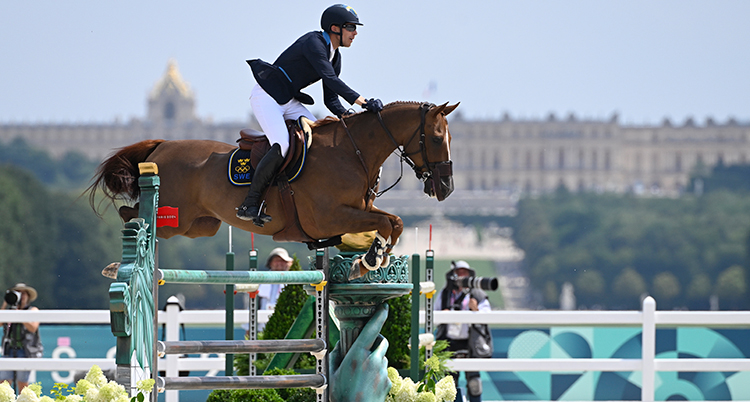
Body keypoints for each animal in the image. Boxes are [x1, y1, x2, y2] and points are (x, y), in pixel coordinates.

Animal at [92, 101, 462, 270]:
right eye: (437, 138)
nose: (446, 188)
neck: (352, 151)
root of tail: (163, 144)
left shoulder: (358, 211)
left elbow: (394, 222)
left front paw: (374, 257)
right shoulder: (329, 218)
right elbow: (387, 222)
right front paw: (371, 258)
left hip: (200, 226)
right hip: (176, 216)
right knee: (132, 215)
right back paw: (120, 262)